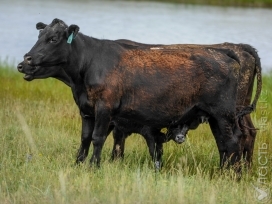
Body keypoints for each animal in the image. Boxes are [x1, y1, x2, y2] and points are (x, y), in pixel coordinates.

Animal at [19, 18, 250, 171]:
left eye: (53, 38)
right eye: (39, 36)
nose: (25, 60)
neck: (88, 67)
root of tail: (224, 53)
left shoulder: (104, 108)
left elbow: (97, 138)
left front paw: (94, 166)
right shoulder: (86, 110)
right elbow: (85, 138)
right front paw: (78, 163)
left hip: (223, 114)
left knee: (233, 141)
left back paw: (231, 174)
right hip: (213, 116)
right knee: (222, 142)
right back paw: (224, 171)